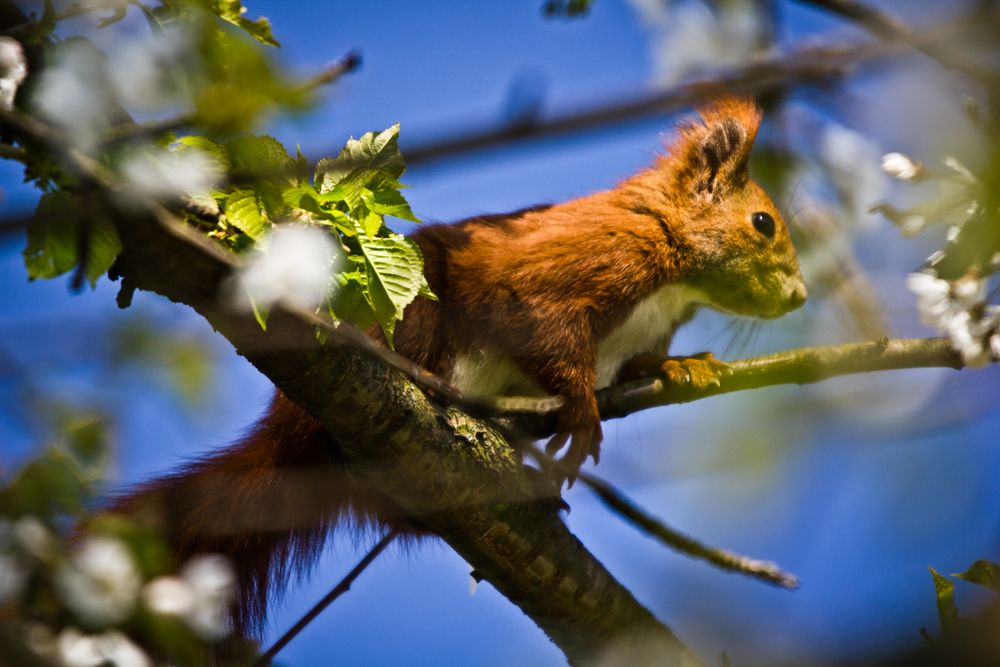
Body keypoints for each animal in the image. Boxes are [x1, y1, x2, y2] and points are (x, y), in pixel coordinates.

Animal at [113, 96, 808, 636]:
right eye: (763, 223)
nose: (801, 296)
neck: (677, 279)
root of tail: (287, 430)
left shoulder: (641, 333)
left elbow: (636, 362)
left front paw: (685, 366)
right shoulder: (576, 266)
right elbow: (548, 330)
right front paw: (584, 411)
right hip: (413, 316)